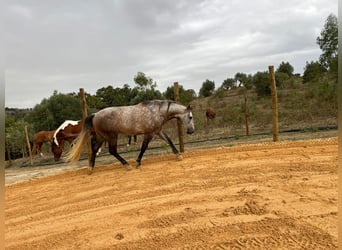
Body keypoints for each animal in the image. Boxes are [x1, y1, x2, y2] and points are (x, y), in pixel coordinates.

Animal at [66, 99, 195, 172]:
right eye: (190, 117)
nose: (192, 131)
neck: (158, 111)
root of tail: (95, 115)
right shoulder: (149, 134)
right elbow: (143, 148)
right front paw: (138, 163)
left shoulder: (157, 131)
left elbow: (169, 140)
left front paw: (178, 155)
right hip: (111, 136)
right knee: (112, 151)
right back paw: (127, 165)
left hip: (101, 137)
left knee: (95, 150)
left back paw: (90, 168)